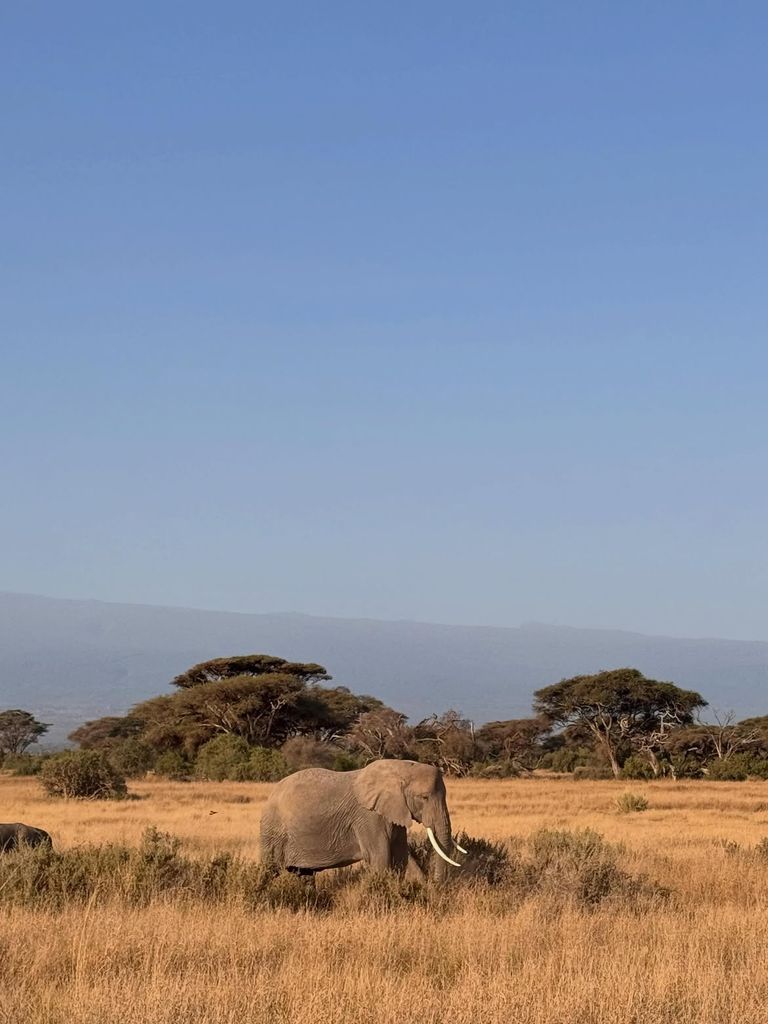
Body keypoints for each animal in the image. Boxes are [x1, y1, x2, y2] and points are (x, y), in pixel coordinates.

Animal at [259, 759, 465, 881]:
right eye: (424, 797)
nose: (437, 884)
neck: (399, 768)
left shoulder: (393, 812)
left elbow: (402, 856)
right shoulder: (368, 817)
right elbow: (379, 857)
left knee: (304, 875)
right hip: (273, 830)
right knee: (269, 869)